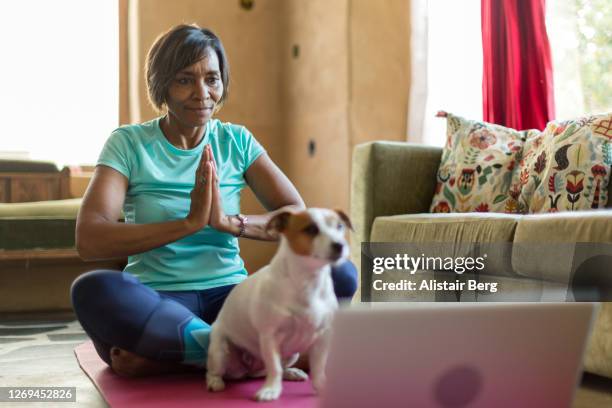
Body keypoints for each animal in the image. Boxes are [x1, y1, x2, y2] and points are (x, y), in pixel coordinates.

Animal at [206, 209, 350, 400]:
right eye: (311, 229)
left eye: (339, 226)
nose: (340, 245)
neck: (308, 281)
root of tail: (248, 370)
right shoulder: (270, 337)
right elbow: (274, 367)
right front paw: (271, 390)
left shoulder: (323, 337)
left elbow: (318, 368)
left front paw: (322, 386)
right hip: (220, 351)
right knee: (215, 370)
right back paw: (215, 382)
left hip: (293, 354)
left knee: (278, 367)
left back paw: (292, 372)